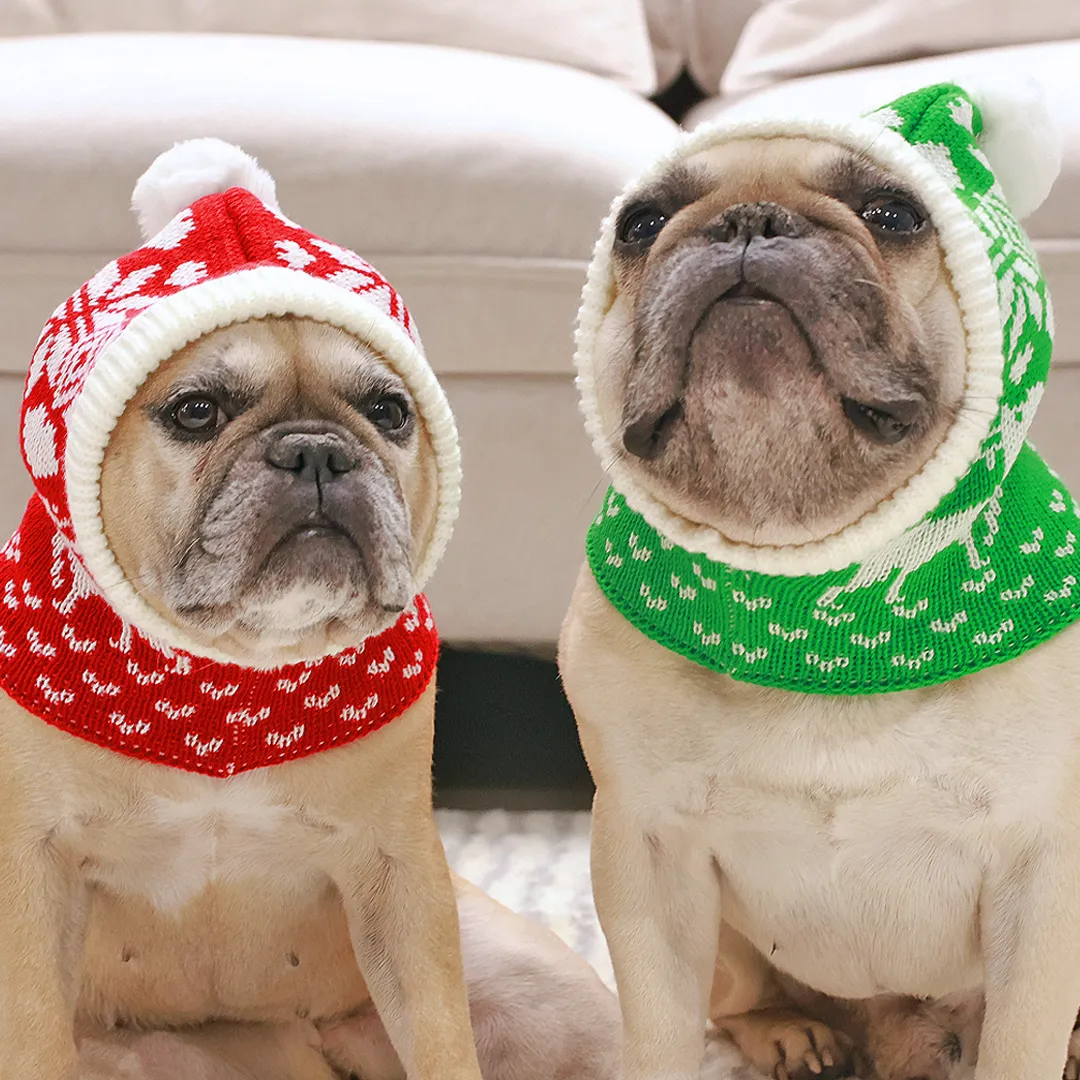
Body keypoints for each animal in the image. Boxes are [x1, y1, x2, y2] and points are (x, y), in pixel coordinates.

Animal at [0, 139, 622, 1075]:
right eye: (196, 410)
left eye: (390, 411)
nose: (318, 452)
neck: (232, 668)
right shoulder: (31, 879)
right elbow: (31, 1032)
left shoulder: (399, 876)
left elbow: (441, 1032)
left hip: (552, 997)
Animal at [557, 79, 1080, 1075]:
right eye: (642, 223)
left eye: (894, 213)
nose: (748, 219)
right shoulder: (645, 854)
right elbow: (662, 1031)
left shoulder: (1044, 879)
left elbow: (1019, 1043)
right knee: (738, 1002)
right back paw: (793, 1034)